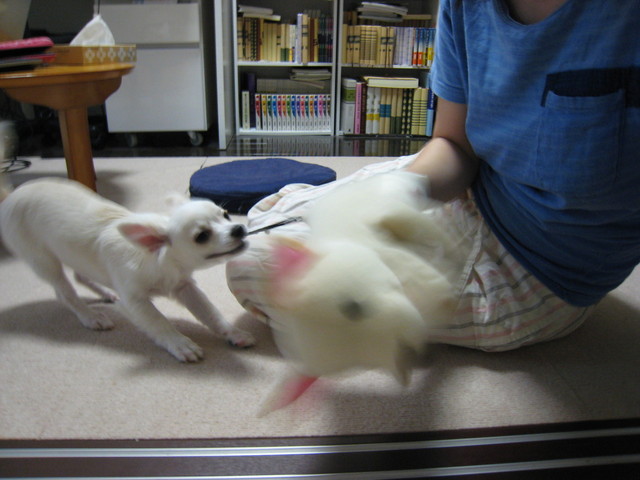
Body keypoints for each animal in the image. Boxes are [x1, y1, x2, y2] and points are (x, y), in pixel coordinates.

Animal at [0, 126, 254, 362]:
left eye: (226, 215)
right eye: (202, 236)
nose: (239, 228)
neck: (159, 260)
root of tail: (10, 196)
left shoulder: (185, 287)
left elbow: (210, 313)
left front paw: (234, 333)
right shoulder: (134, 302)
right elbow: (159, 322)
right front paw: (180, 343)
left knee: (80, 275)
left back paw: (104, 293)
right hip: (43, 260)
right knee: (64, 292)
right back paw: (90, 316)